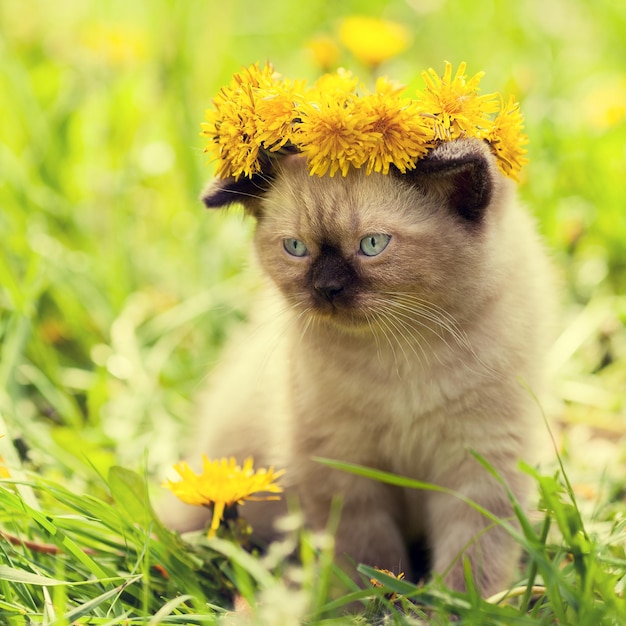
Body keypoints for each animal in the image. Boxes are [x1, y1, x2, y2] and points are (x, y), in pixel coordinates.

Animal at [165, 136, 552, 596]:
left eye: (372, 245)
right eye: (296, 248)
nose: (327, 288)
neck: (402, 354)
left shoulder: (480, 463)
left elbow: (472, 566)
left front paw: (457, 605)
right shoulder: (343, 467)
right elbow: (366, 557)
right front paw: (375, 601)